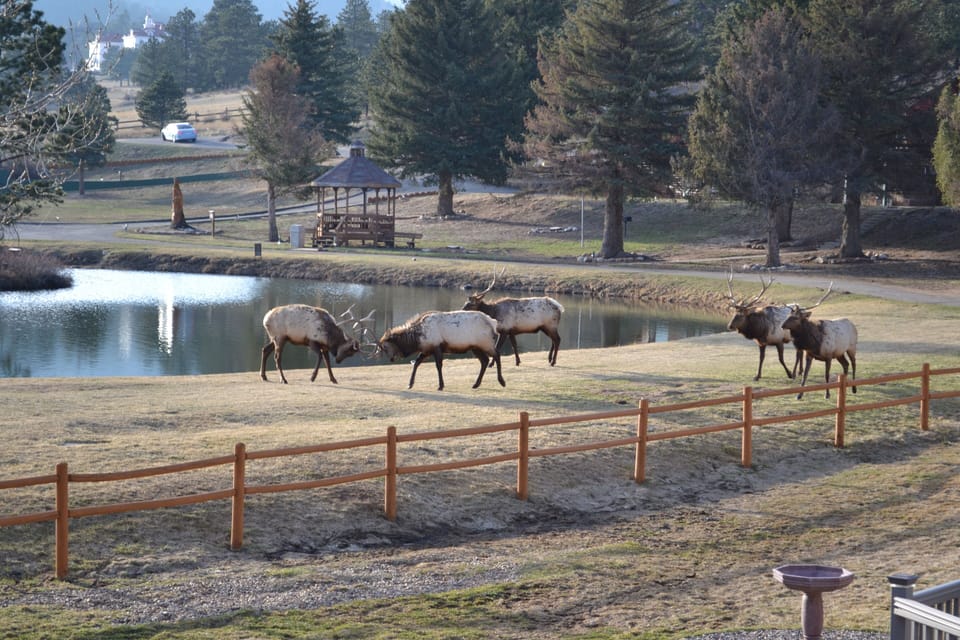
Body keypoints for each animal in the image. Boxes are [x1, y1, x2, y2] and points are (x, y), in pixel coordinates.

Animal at [376, 310, 506, 391]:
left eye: (385, 347)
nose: (391, 359)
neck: (418, 338)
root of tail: (492, 322)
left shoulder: (436, 346)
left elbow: (438, 365)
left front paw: (441, 385)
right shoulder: (427, 349)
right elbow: (416, 363)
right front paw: (410, 384)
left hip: (485, 343)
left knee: (497, 354)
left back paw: (501, 381)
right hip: (475, 347)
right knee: (484, 360)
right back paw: (476, 384)